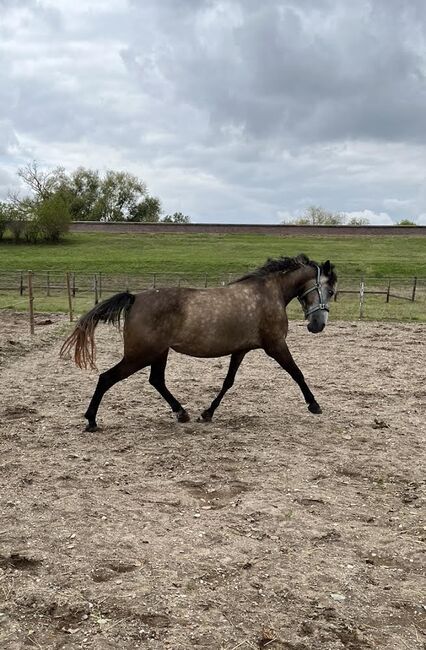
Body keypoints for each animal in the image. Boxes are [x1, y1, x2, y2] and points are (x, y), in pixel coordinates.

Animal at [60, 253, 336, 430]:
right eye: (331, 290)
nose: (317, 325)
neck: (269, 293)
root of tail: (135, 298)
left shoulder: (241, 349)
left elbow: (228, 382)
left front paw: (207, 413)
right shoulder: (275, 345)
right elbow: (297, 373)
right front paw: (314, 405)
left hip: (159, 353)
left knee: (156, 380)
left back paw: (182, 413)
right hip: (140, 354)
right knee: (107, 378)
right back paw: (91, 421)